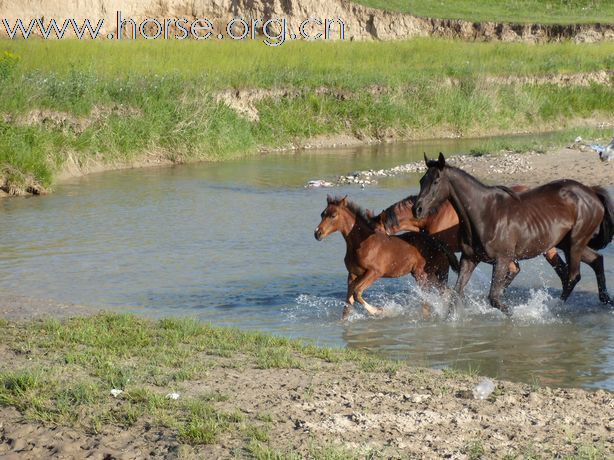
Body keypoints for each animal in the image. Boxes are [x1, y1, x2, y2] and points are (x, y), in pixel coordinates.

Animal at [316, 195, 460, 320]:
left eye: (333, 215)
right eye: (322, 214)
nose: (317, 233)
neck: (361, 244)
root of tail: (439, 243)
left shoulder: (375, 272)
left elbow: (357, 293)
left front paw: (379, 311)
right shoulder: (352, 274)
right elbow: (349, 301)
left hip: (429, 274)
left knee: (438, 295)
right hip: (428, 275)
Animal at [414, 153, 614, 314]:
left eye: (436, 181)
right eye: (422, 181)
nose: (417, 209)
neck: (485, 214)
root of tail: (591, 192)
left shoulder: (502, 260)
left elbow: (495, 297)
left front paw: (518, 315)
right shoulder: (469, 259)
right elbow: (457, 295)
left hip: (575, 243)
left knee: (573, 276)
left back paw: (552, 307)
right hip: (566, 243)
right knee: (596, 260)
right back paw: (606, 301)